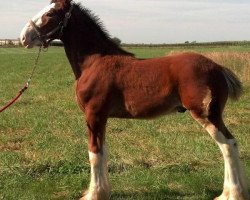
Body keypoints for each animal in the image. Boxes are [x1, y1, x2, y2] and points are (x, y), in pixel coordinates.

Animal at [19, 0, 248, 199]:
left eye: (50, 13)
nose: (23, 37)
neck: (94, 62)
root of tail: (218, 67)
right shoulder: (102, 118)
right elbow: (103, 151)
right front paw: (103, 192)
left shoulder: (93, 115)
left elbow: (94, 152)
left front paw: (94, 194)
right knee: (232, 144)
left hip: (207, 115)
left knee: (227, 145)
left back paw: (231, 194)